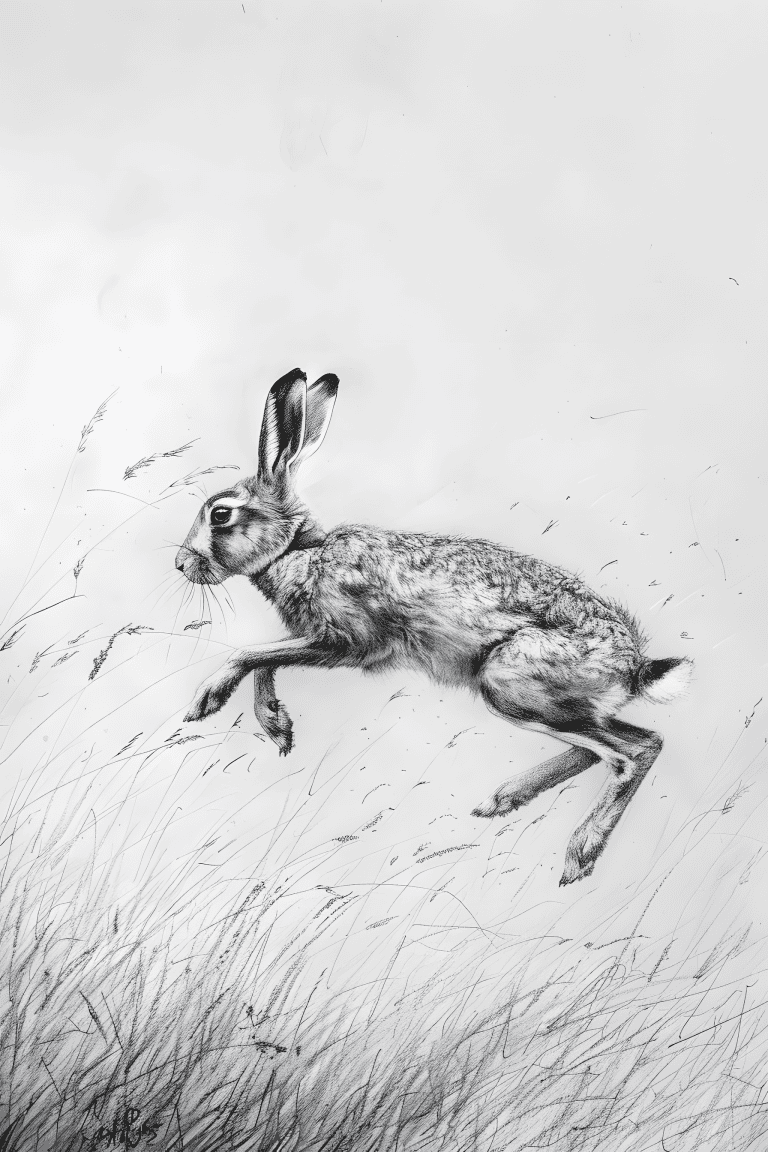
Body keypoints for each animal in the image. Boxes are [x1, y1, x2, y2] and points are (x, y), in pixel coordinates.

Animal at [176, 368, 692, 885]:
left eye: (220, 514)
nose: (181, 564)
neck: (301, 552)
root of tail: (633, 666)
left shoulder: (344, 642)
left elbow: (253, 653)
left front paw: (207, 701)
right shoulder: (314, 641)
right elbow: (266, 659)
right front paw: (278, 727)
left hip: (512, 686)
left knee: (628, 755)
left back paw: (579, 853)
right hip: (554, 704)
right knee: (625, 742)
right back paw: (504, 799)